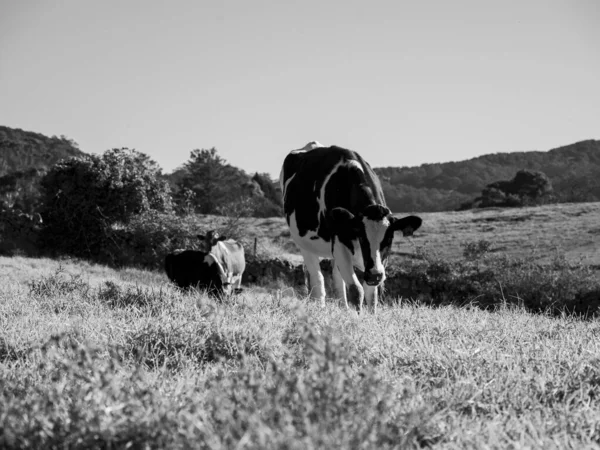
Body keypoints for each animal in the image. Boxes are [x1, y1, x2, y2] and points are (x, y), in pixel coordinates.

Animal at [280, 142, 422, 312]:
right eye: (361, 235)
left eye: (390, 238)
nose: (374, 275)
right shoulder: (340, 242)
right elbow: (356, 290)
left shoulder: (376, 262)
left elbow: (372, 294)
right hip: (304, 243)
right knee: (317, 278)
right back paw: (320, 306)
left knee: (337, 278)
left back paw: (344, 308)